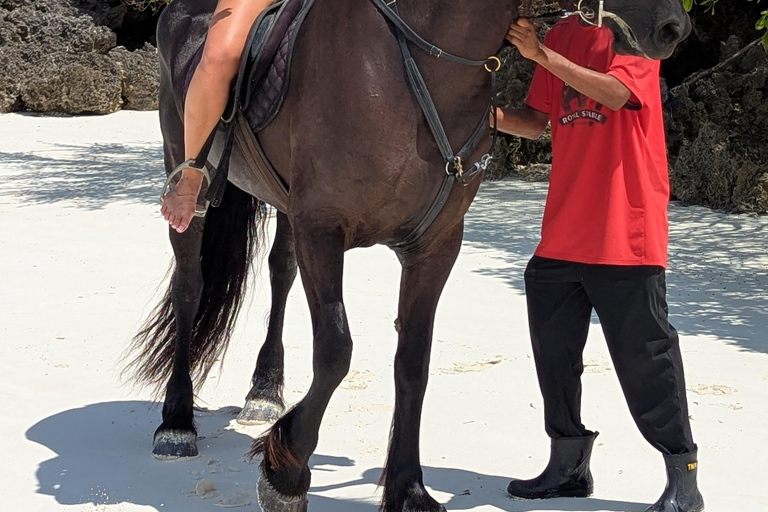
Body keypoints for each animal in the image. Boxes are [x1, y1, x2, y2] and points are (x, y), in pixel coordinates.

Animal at [127, 0, 690, 510]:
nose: (674, 27)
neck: (419, 64)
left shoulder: (435, 246)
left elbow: (414, 362)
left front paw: (409, 488)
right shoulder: (322, 230)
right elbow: (335, 351)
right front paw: (286, 472)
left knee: (280, 274)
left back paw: (264, 390)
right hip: (186, 167)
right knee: (190, 285)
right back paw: (176, 422)